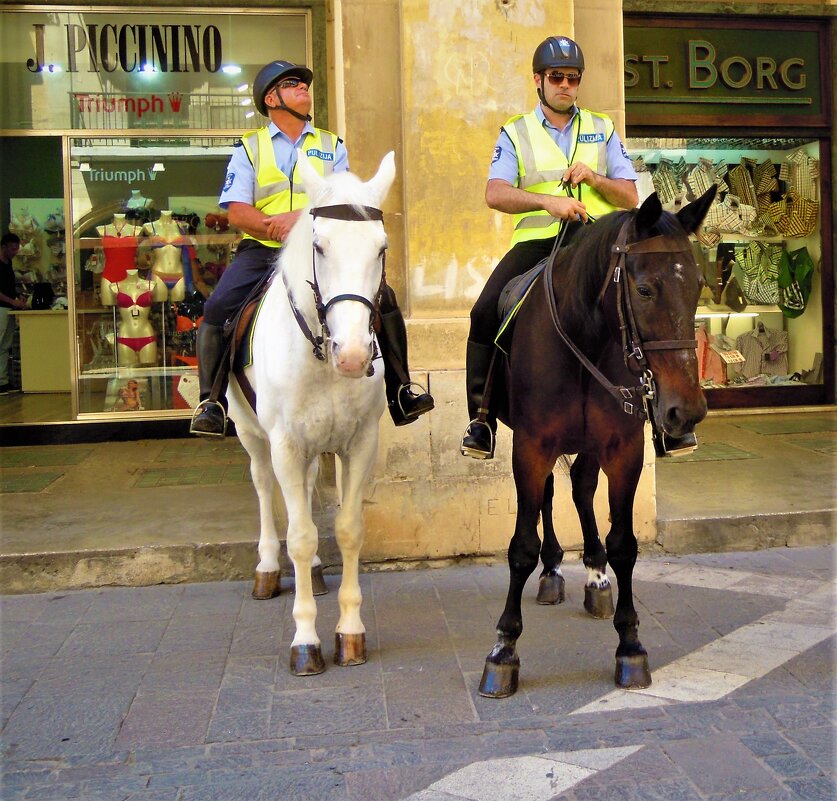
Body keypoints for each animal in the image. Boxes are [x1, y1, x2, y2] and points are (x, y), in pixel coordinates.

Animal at [225, 152, 396, 676]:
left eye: (381, 249)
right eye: (319, 247)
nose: (354, 356)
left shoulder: (359, 443)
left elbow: (348, 529)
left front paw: (350, 632)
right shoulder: (286, 443)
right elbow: (299, 536)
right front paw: (305, 639)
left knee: (301, 490)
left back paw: (316, 576)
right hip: (252, 434)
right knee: (265, 487)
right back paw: (265, 569)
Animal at [480, 186, 716, 692]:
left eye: (697, 287)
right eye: (644, 289)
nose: (685, 410)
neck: (584, 336)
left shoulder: (623, 449)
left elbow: (624, 543)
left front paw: (630, 644)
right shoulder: (531, 445)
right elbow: (521, 546)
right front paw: (504, 648)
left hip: (589, 445)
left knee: (581, 491)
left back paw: (594, 574)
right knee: (551, 495)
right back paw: (553, 570)